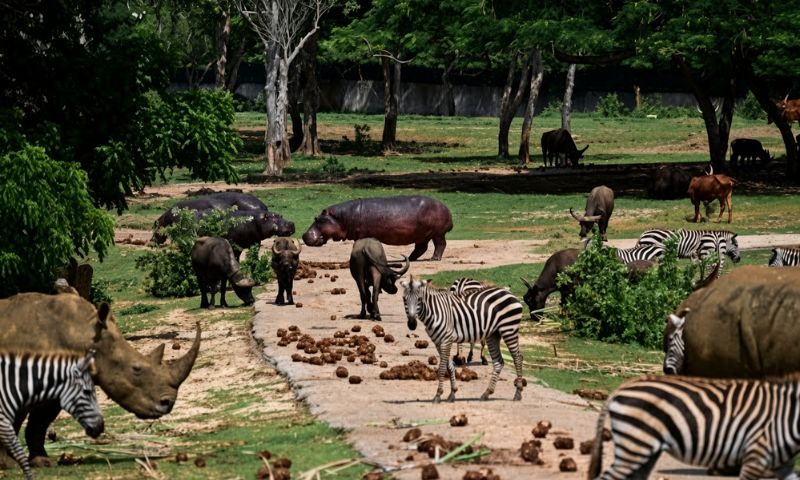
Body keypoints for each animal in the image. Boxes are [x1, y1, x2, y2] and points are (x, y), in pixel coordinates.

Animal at [302, 195, 453, 261]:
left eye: (317, 219)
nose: (303, 235)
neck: (342, 218)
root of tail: (446, 207)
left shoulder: (362, 235)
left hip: (437, 233)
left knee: (440, 245)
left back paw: (434, 259)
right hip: (422, 235)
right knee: (421, 248)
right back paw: (410, 258)